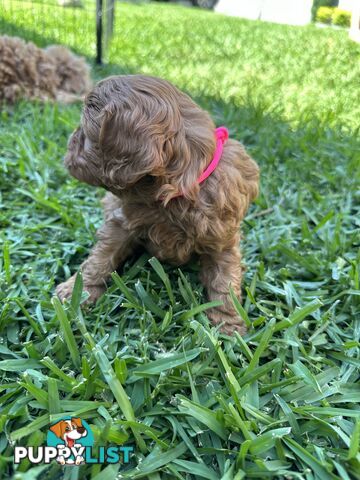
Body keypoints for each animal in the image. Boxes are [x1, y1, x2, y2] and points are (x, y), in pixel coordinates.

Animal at [55, 76, 258, 338]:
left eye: (85, 134)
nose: (69, 143)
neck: (174, 193)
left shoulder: (222, 237)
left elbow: (224, 279)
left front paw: (229, 324)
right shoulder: (121, 220)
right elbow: (101, 257)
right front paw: (77, 291)